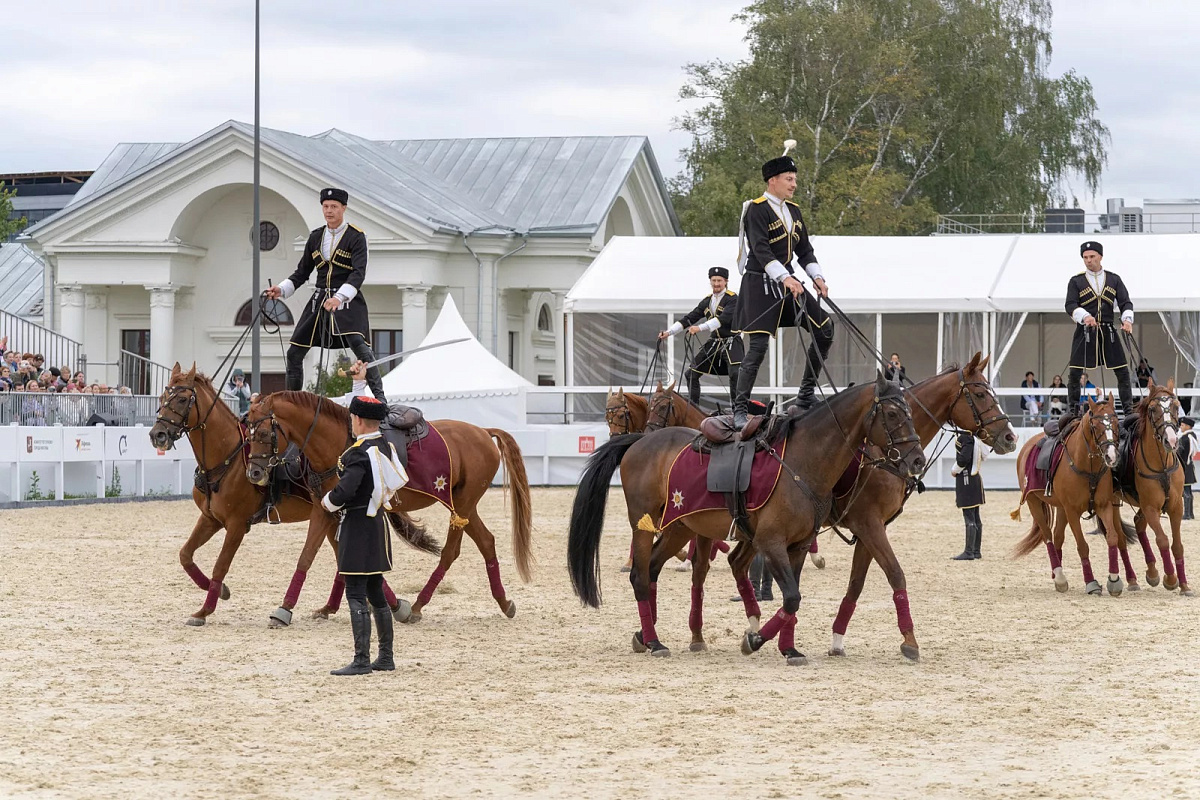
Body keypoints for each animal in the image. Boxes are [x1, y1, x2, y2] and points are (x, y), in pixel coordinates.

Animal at [248, 391, 535, 623]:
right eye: (248, 433)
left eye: (262, 434)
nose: (254, 472)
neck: (337, 443)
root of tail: (484, 431)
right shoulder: (324, 509)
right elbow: (309, 556)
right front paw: (288, 608)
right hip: (465, 505)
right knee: (486, 542)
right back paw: (504, 603)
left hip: (463, 505)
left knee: (450, 552)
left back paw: (418, 605)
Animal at [566, 376, 921, 662]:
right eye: (892, 414)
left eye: (909, 411)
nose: (916, 458)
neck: (802, 461)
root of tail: (640, 441)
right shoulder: (771, 542)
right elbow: (792, 597)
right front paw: (755, 640)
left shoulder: (800, 545)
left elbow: (793, 599)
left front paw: (788, 647)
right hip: (644, 523)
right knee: (640, 576)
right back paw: (655, 642)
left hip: (681, 526)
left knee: (653, 568)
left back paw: (646, 634)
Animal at [816, 352, 1022, 662]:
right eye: (980, 394)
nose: (1010, 438)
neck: (885, 451)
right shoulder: (869, 525)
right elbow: (896, 575)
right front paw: (910, 640)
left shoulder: (868, 531)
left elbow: (856, 584)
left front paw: (837, 640)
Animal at [1012, 398, 1123, 597]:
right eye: (1095, 425)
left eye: (1116, 422)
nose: (1111, 456)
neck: (1087, 465)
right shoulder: (1072, 511)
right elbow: (1082, 546)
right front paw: (1091, 583)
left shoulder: (1104, 506)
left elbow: (1112, 537)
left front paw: (1114, 580)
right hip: (1034, 503)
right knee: (1048, 536)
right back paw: (1060, 577)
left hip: (1060, 507)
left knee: (1057, 537)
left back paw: (1057, 575)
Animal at [1104, 381, 1190, 594]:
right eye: (1152, 409)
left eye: (1176, 406)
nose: (1171, 441)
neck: (1162, 466)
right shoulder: (1151, 507)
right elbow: (1162, 540)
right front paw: (1171, 578)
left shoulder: (1176, 507)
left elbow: (1177, 545)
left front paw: (1184, 585)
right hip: (1114, 501)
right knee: (1120, 539)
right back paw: (1132, 579)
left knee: (1138, 523)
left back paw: (1151, 571)